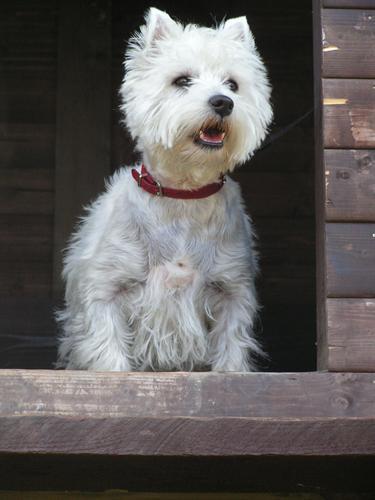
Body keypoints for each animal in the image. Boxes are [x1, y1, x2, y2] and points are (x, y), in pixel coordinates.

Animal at [56, 5, 274, 370]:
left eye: (233, 84)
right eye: (182, 81)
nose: (223, 102)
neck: (184, 195)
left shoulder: (231, 290)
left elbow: (230, 349)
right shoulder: (108, 288)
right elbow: (109, 350)